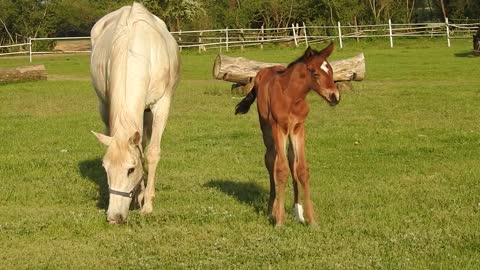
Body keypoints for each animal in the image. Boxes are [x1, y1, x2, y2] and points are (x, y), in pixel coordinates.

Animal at [90, 2, 180, 224]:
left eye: (130, 169)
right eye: (105, 168)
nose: (114, 217)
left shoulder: (161, 105)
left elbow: (152, 153)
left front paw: (147, 204)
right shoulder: (106, 106)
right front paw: (138, 196)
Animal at [234, 42, 340, 226]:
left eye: (331, 71)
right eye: (315, 73)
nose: (334, 96)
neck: (292, 96)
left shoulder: (298, 128)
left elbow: (302, 169)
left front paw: (312, 220)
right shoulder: (279, 128)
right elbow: (281, 170)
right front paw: (279, 221)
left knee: (291, 159)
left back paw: (298, 212)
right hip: (267, 130)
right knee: (271, 159)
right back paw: (271, 210)